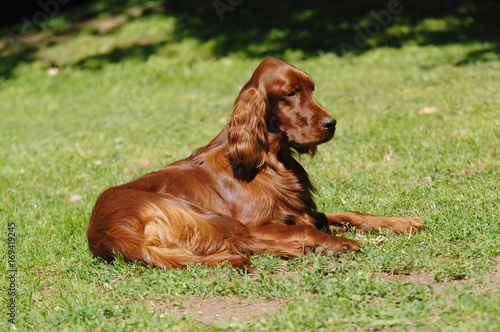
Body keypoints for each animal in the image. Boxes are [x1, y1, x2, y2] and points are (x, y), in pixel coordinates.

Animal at [88, 57, 424, 270]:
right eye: (290, 93)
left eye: (312, 89)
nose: (331, 123)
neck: (269, 161)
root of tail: (107, 230)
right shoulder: (260, 221)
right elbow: (307, 229)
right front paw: (335, 241)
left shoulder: (301, 211)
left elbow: (349, 214)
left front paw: (401, 221)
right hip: (209, 216)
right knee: (244, 242)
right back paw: (319, 246)